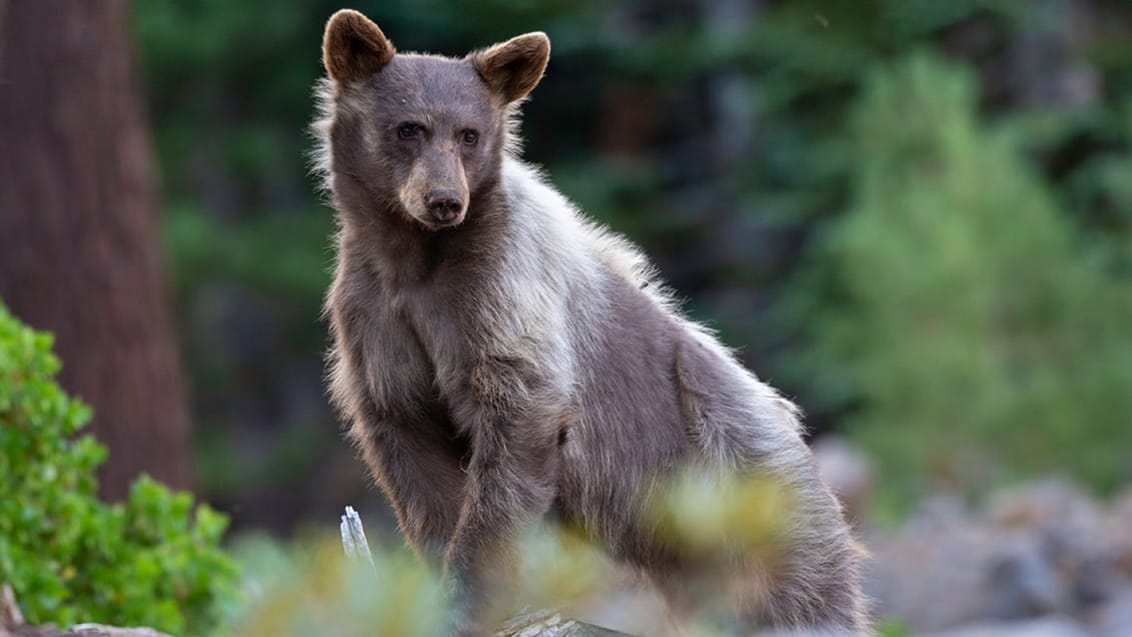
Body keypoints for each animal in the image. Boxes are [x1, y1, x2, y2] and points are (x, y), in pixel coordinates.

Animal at [314, 7, 869, 633]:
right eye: (408, 128)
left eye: (469, 134)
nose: (444, 201)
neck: (416, 257)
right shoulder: (374, 314)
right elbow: (410, 444)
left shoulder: (501, 288)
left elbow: (518, 416)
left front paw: (470, 593)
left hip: (755, 502)